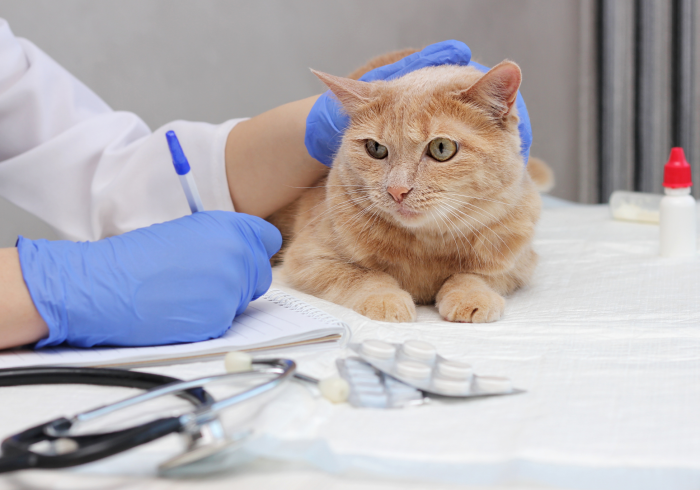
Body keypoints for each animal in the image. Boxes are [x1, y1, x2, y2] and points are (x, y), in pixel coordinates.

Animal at [270, 53, 544, 324]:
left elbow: (473, 275)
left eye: (441, 148)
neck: (427, 246)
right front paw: (385, 299)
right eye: (375, 148)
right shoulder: (308, 257)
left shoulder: (518, 263)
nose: (397, 190)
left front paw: (471, 295)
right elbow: (363, 275)